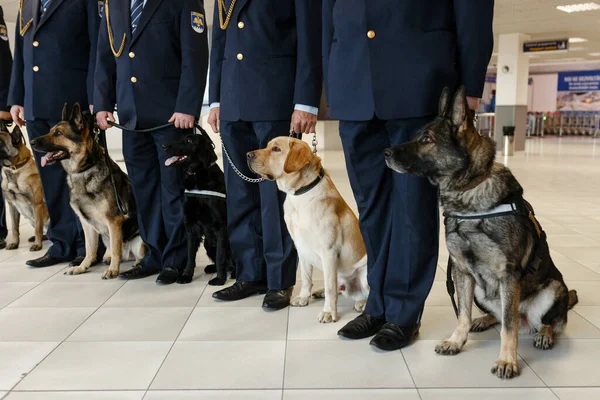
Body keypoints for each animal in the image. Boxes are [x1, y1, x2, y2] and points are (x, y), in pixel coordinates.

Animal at [0, 120, 49, 252]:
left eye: (0, 141)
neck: (14, 168)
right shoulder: (12, 206)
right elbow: (14, 228)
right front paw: (14, 243)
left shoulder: (36, 204)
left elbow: (38, 228)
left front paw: (38, 245)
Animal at [30, 103, 146, 278]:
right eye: (50, 131)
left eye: (58, 133)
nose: (31, 142)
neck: (84, 170)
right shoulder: (86, 223)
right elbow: (89, 249)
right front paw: (82, 267)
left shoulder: (114, 221)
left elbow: (115, 249)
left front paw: (113, 270)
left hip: (138, 241)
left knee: (138, 253)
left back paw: (136, 264)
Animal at [163, 126, 236, 286]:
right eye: (180, 138)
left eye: (189, 141)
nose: (164, 146)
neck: (197, 177)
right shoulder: (190, 226)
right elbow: (190, 255)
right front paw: (186, 275)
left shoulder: (220, 227)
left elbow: (220, 255)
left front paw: (220, 279)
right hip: (208, 242)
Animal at [384, 87, 576, 382]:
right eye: (417, 135)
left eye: (426, 140)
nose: (386, 152)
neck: (469, 192)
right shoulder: (462, 272)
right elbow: (462, 315)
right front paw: (456, 341)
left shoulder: (508, 276)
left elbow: (509, 329)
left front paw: (507, 360)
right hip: (481, 292)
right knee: (501, 315)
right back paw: (484, 320)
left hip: (552, 288)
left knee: (546, 321)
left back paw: (543, 334)